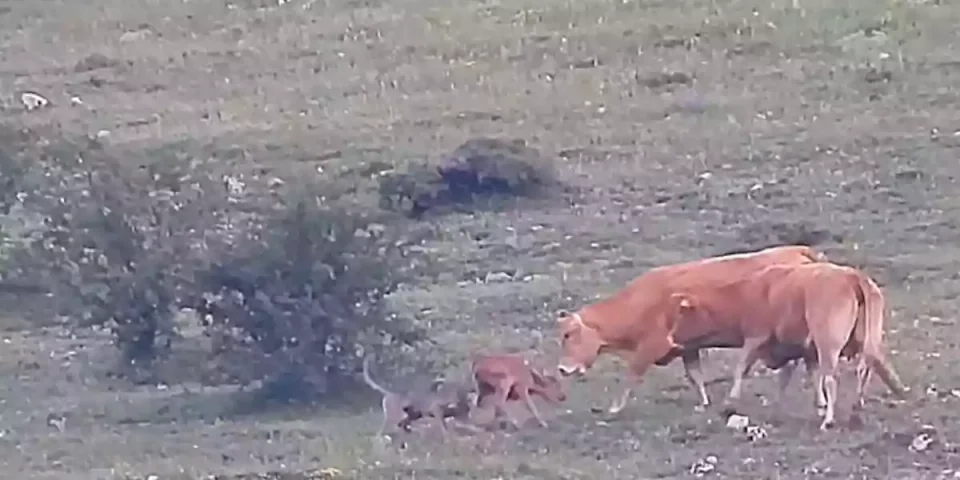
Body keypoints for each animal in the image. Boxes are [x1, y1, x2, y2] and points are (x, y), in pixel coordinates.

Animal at [555, 244, 827, 414]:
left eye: (568, 334)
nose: (562, 368)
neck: (639, 301)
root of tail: (795, 250)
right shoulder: (688, 348)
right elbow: (695, 376)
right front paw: (704, 403)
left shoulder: (651, 346)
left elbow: (631, 374)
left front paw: (614, 407)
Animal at [670, 262, 908, 429]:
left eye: (682, 316)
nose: (671, 338)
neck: (746, 292)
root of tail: (852, 276)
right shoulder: (801, 350)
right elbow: (798, 376)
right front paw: (807, 405)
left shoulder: (756, 337)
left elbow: (741, 367)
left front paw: (732, 399)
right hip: (867, 341)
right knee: (865, 370)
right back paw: (855, 411)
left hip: (828, 344)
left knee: (833, 378)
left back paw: (829, 421)